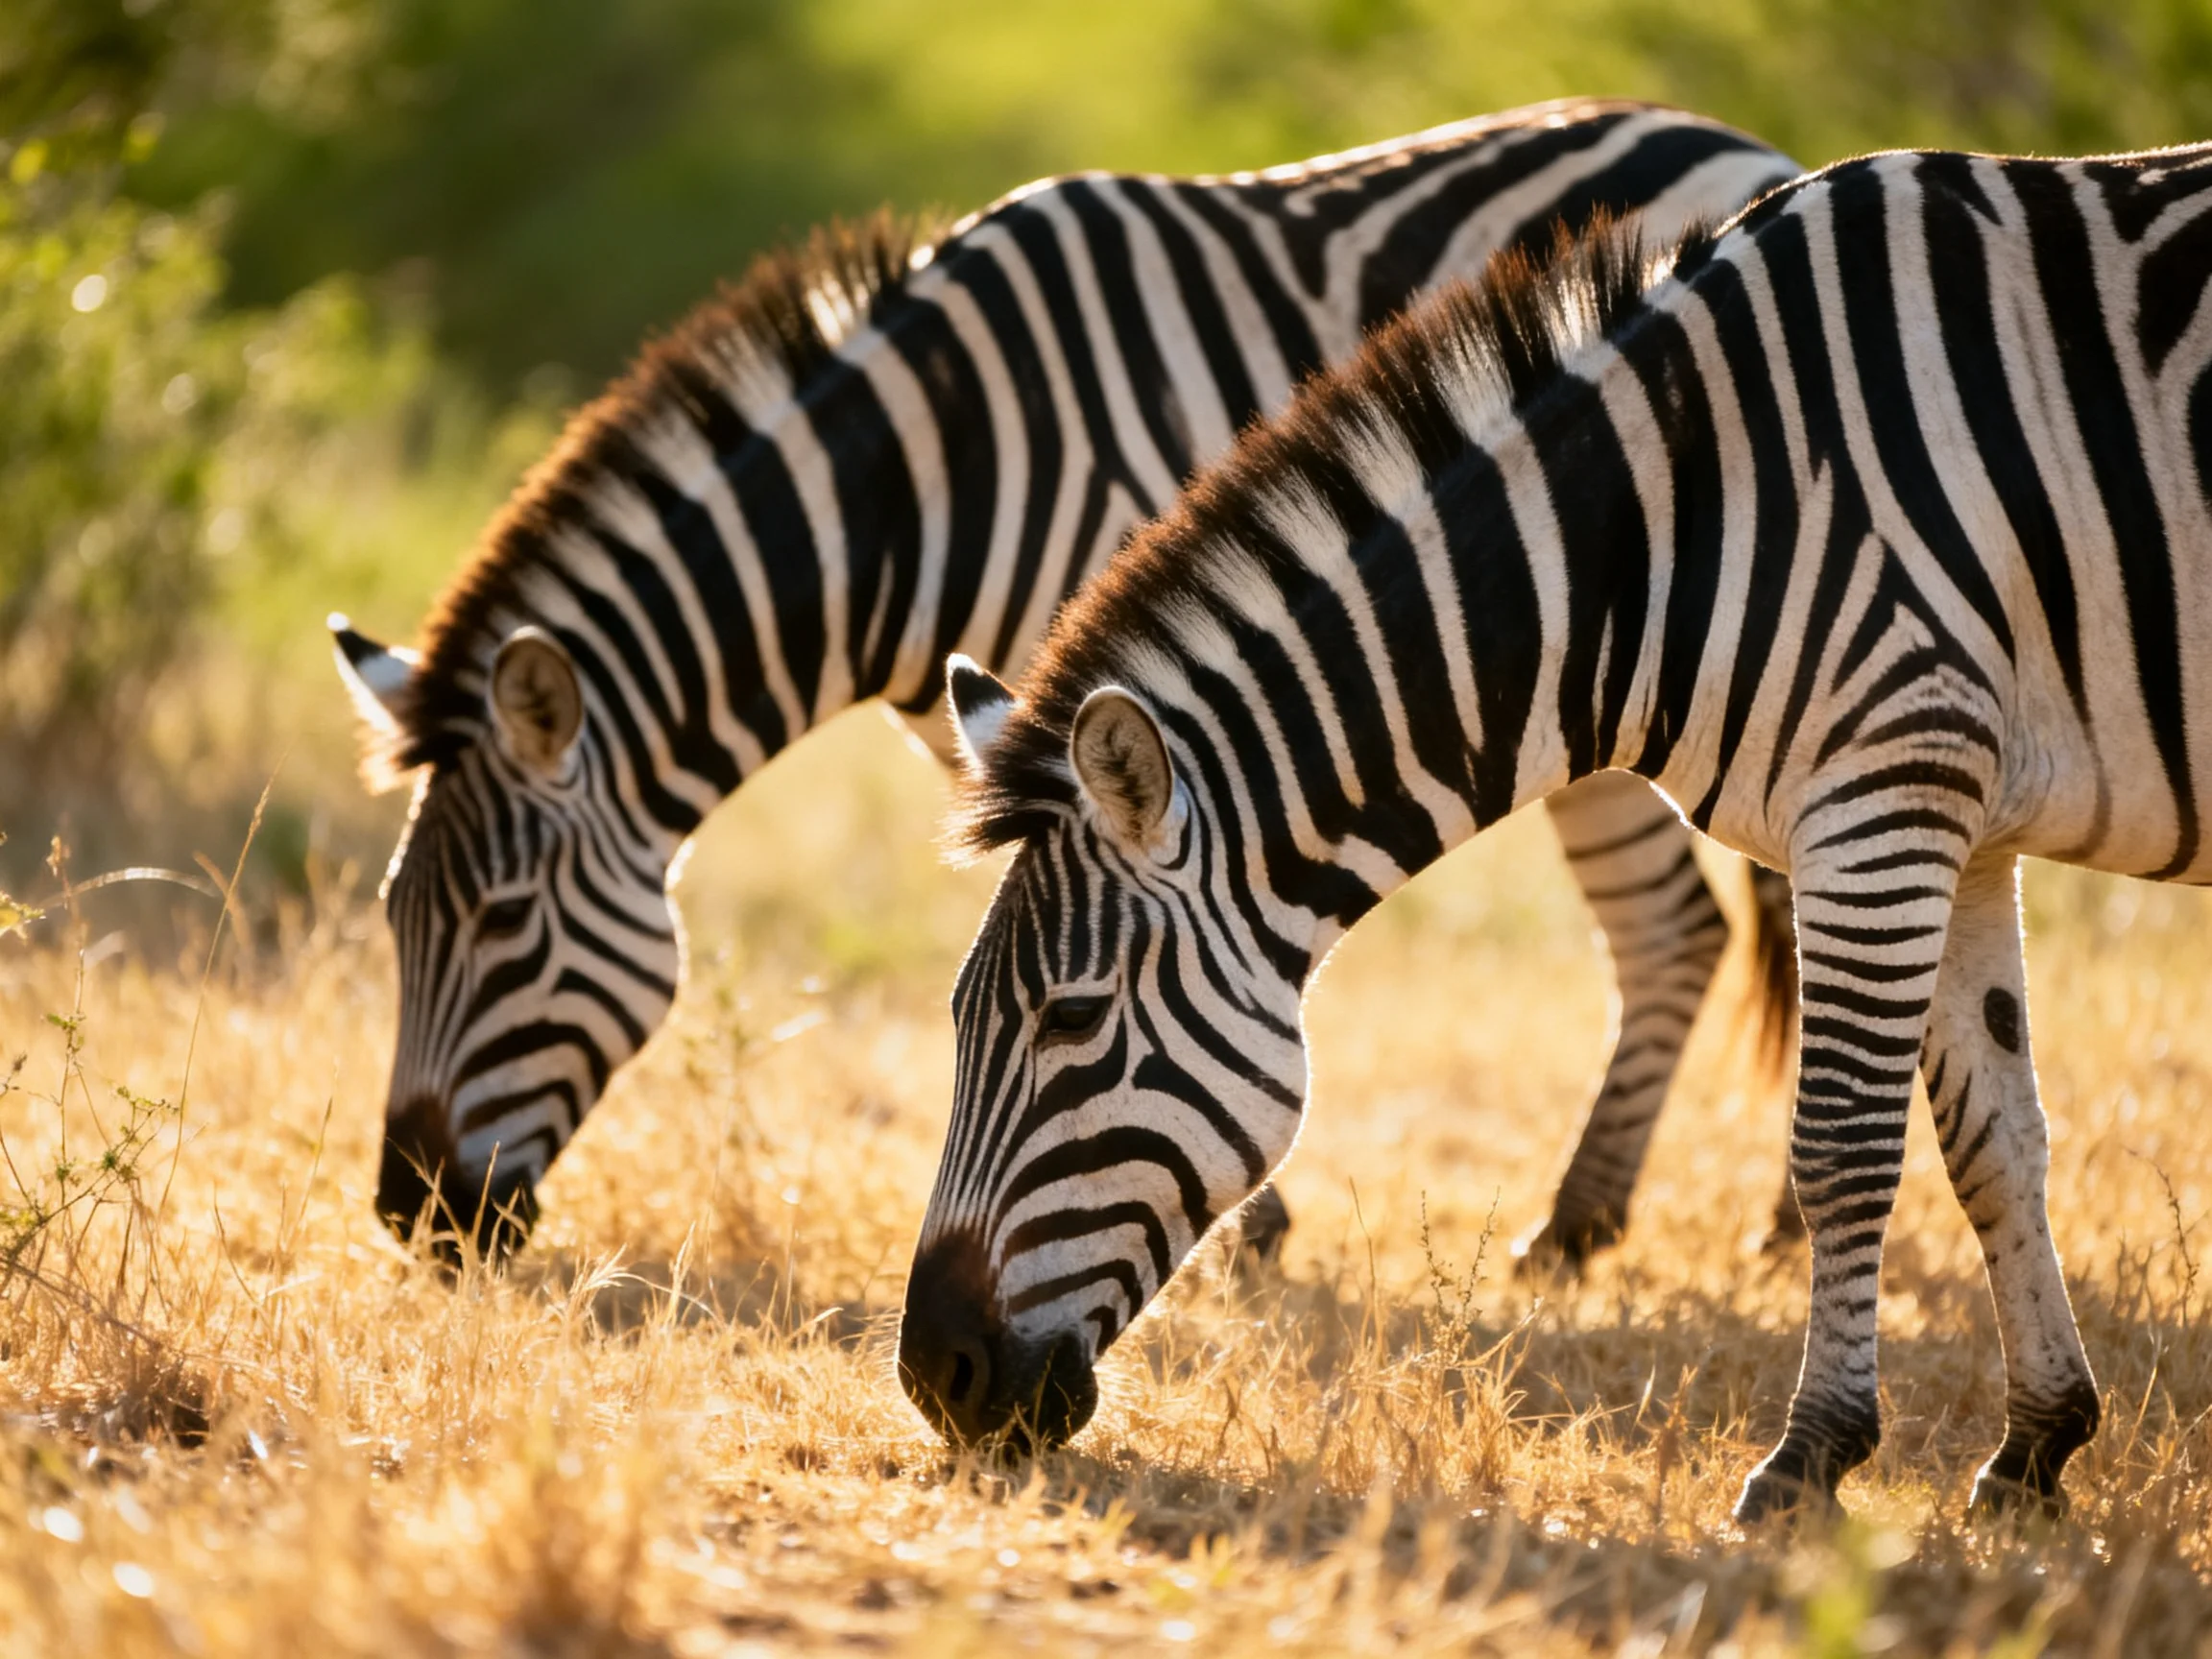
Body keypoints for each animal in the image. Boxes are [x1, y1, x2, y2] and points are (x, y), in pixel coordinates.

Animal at [329, 100, 1800, 1263]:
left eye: (503, 922)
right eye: (396, 921)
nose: (418, 1217)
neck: (916, 496)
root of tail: (1729, 137)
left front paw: (1240, 1230)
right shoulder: (1002, 729)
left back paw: (1713, 1224)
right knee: (1685, 925)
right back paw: (1605, 1227)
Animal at [913, 141, 2212, 1523]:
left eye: (1071, 1020)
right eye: (960, 1019)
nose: (934, 1377)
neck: (1681, 523)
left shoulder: (1885, 788)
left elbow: (1846, 1150)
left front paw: (1813, 1455)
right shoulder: (1963, 819)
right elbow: (1996, 1142)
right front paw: (2036, 1449)